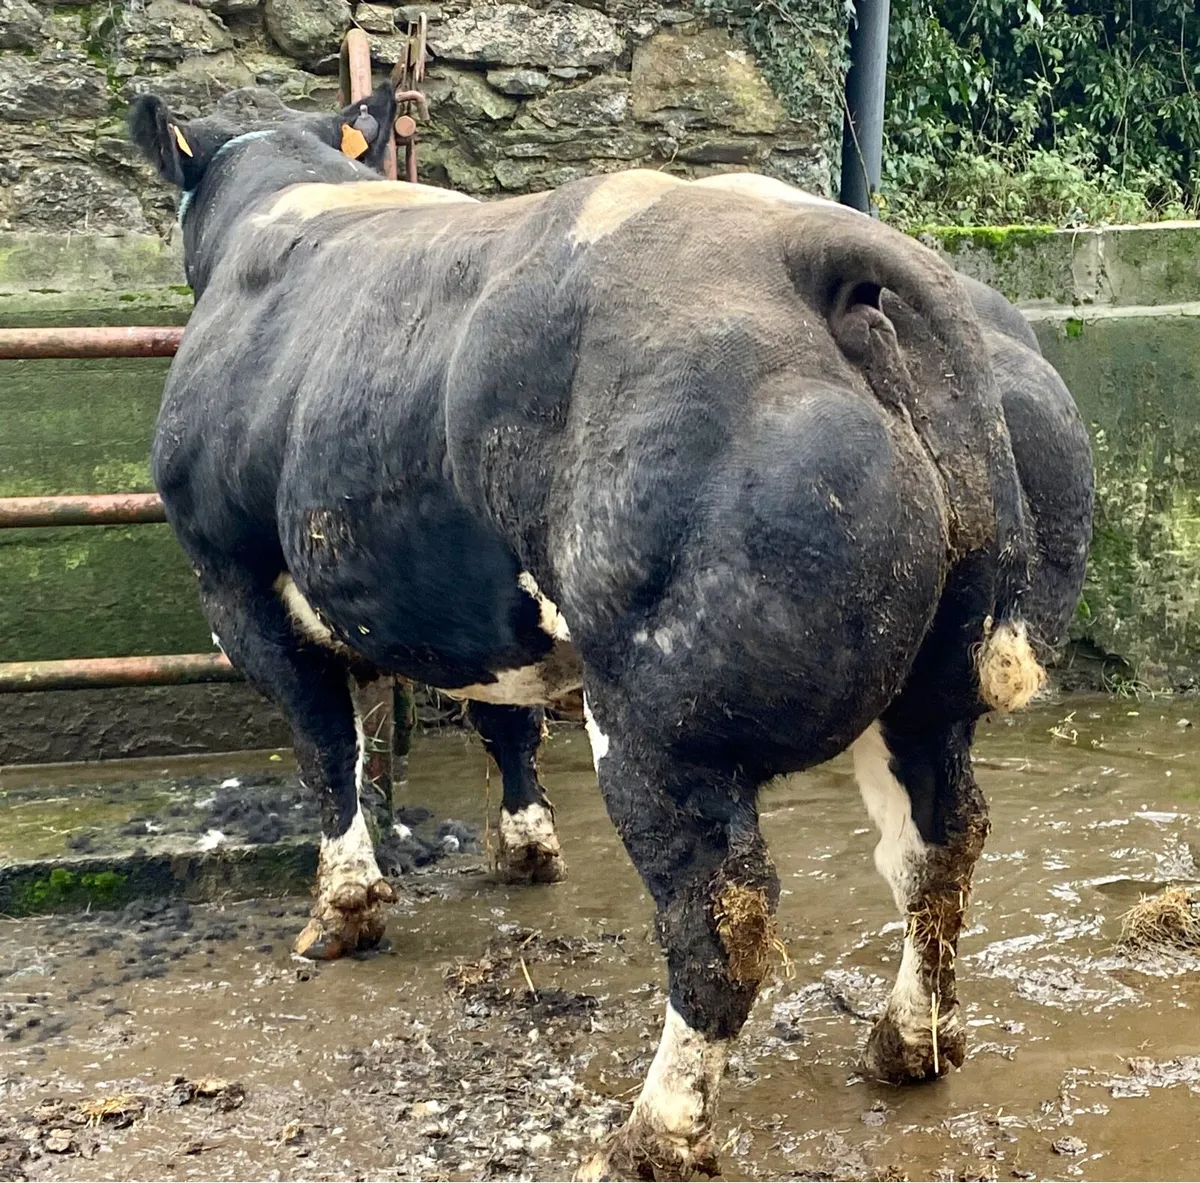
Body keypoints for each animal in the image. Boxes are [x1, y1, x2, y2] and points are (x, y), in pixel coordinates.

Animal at [129, 88, 1093, 1181]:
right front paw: (524, 848)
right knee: (938, 845)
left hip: (659, 712)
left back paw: (652, 1132)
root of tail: (816, 244)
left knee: (720, 912)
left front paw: (340, 912)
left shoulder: (234, 580)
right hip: (927, 695)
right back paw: (907, 1043)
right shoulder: (478, 605)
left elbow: (326, 750)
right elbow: (501, 719)